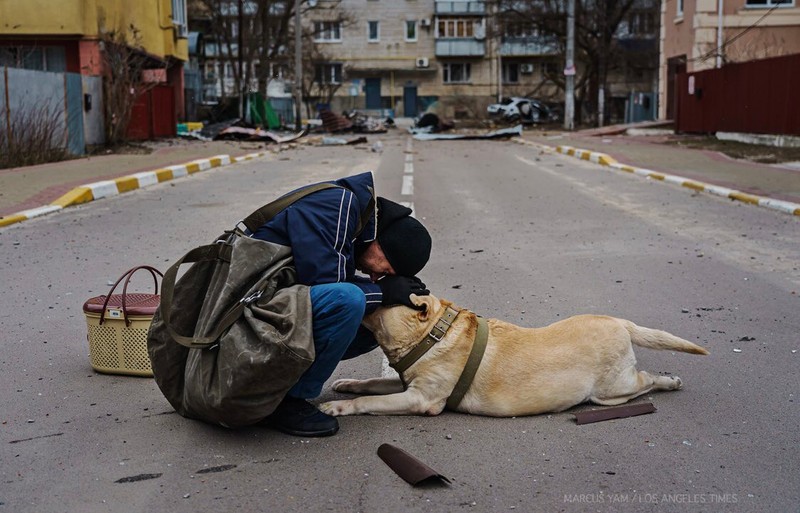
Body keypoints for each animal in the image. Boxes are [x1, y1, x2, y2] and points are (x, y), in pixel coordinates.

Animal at [318, 292, 708, 416]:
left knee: (646, 380)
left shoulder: (419, 399)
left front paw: (340, 407)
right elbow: (370, 384)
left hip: (612, 390)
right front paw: (348, 383)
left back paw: (670, 382)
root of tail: (621, 322)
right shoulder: (404, 384)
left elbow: (370, 402)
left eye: (383, 293)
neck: (431, 336)